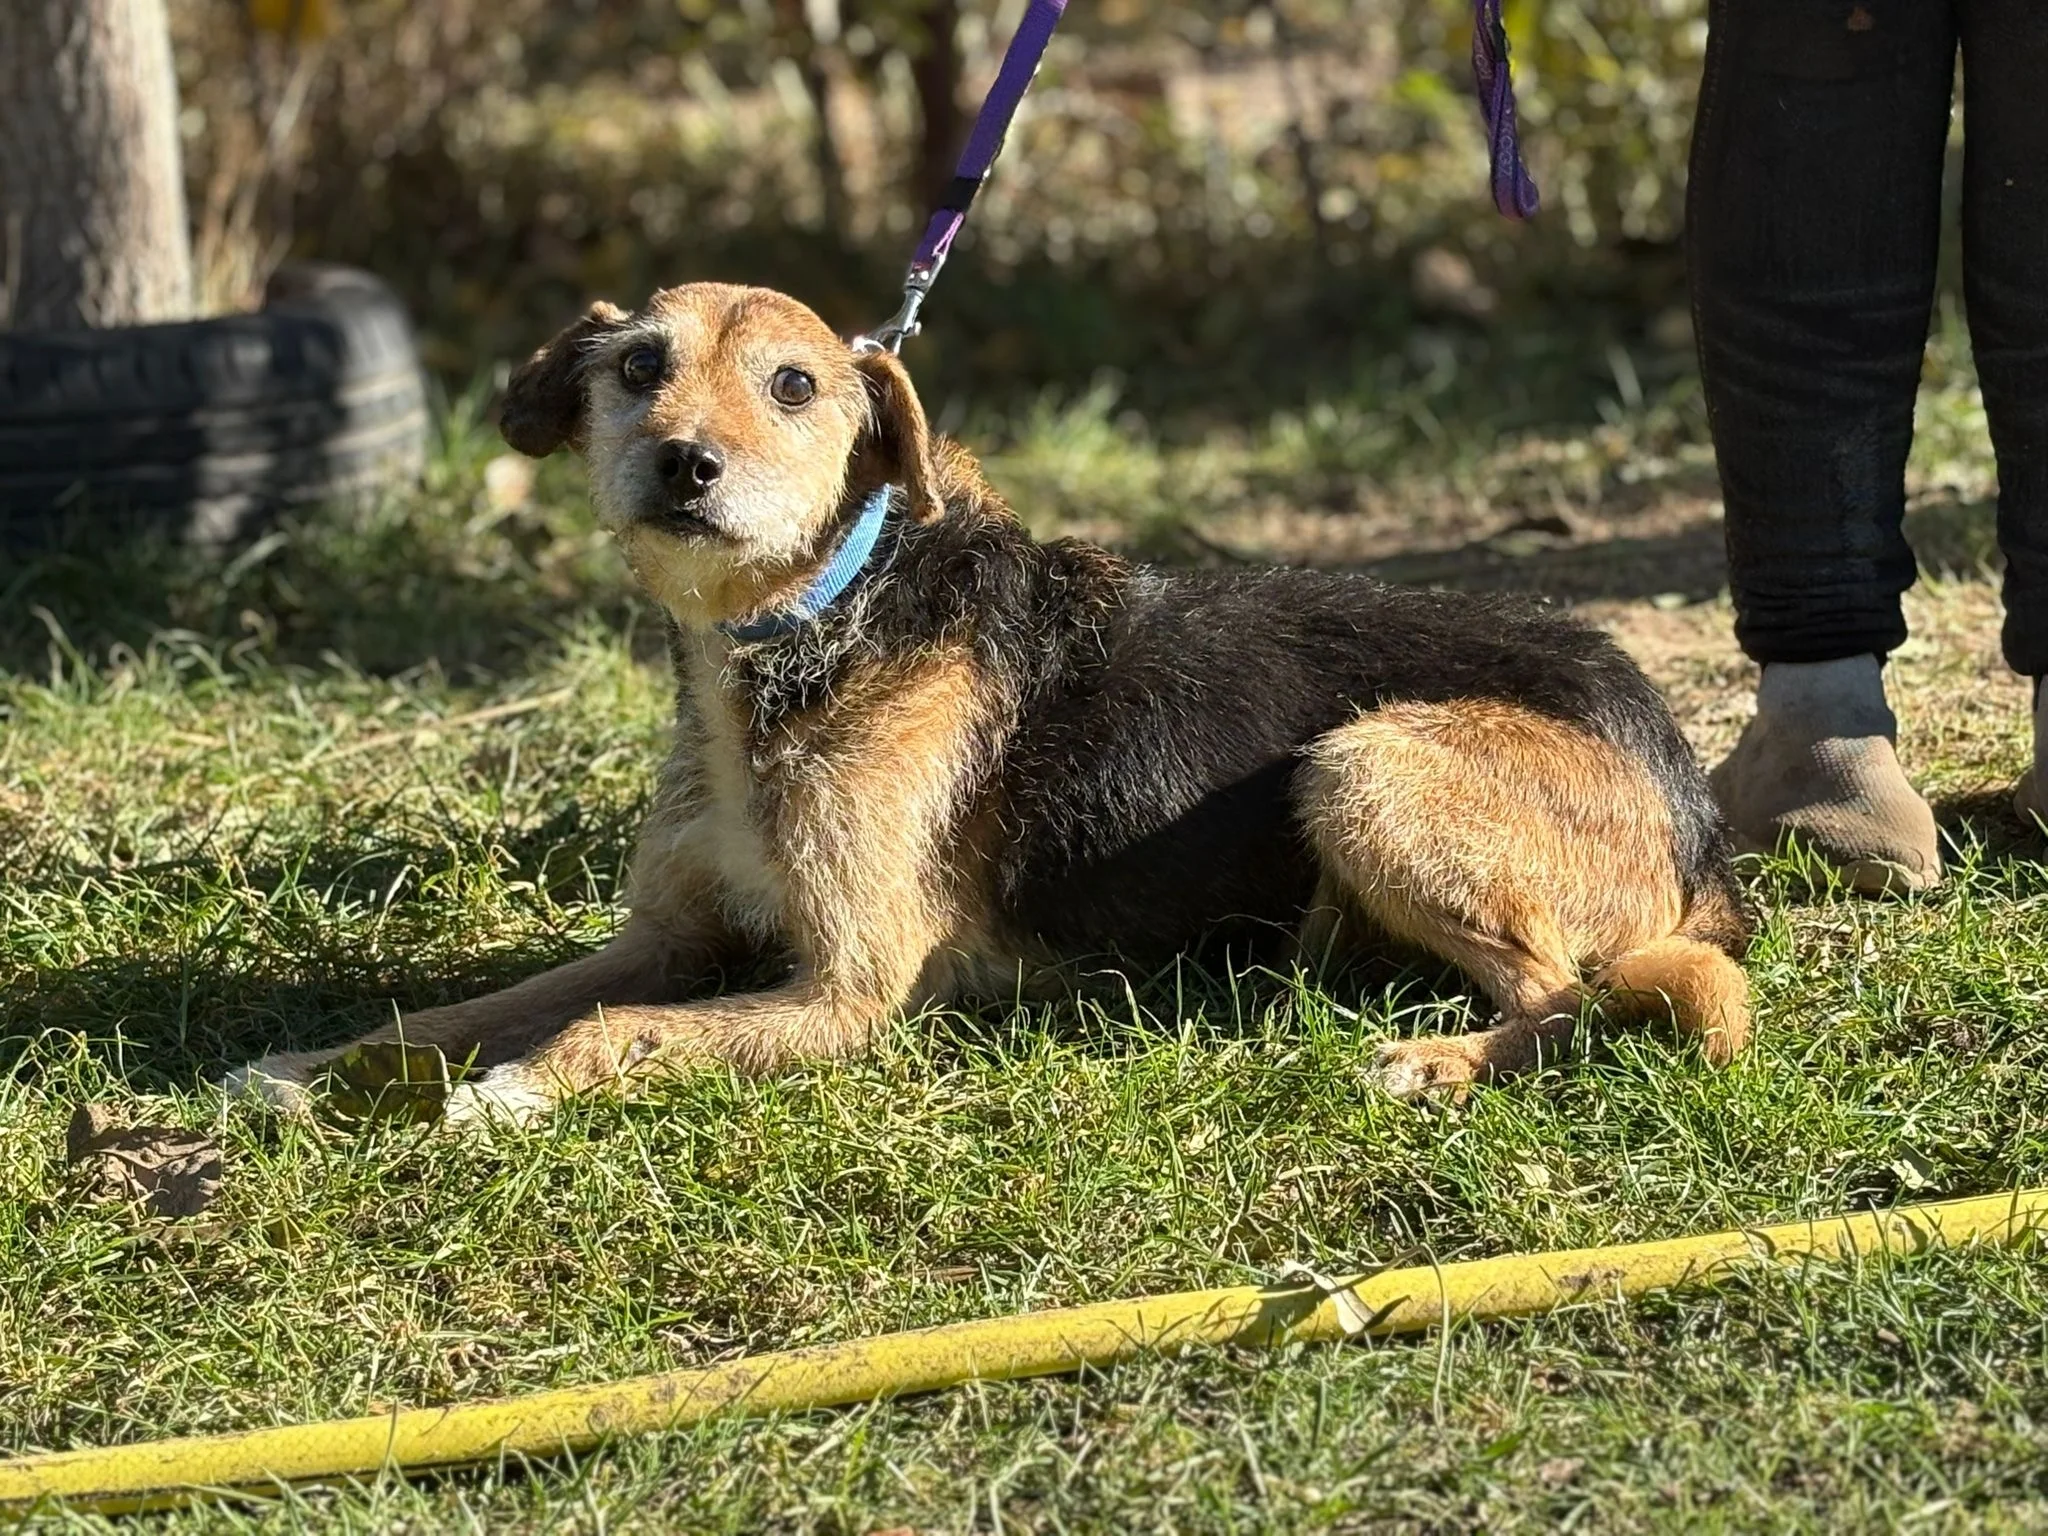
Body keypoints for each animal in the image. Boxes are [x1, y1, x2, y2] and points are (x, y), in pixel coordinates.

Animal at [224, 282, 1751, 1126]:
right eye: (637, 366)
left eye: (794, 383)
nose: (683, 464)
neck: (811, 625)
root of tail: (1690, 798)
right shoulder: (665, 938)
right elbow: (457, 1013)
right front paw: (317, 1070)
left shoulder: (849, 994)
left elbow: (612, 1032)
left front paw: (522, 1090)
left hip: (1360, 767)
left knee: (1564, 997)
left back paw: (1434, 1066)